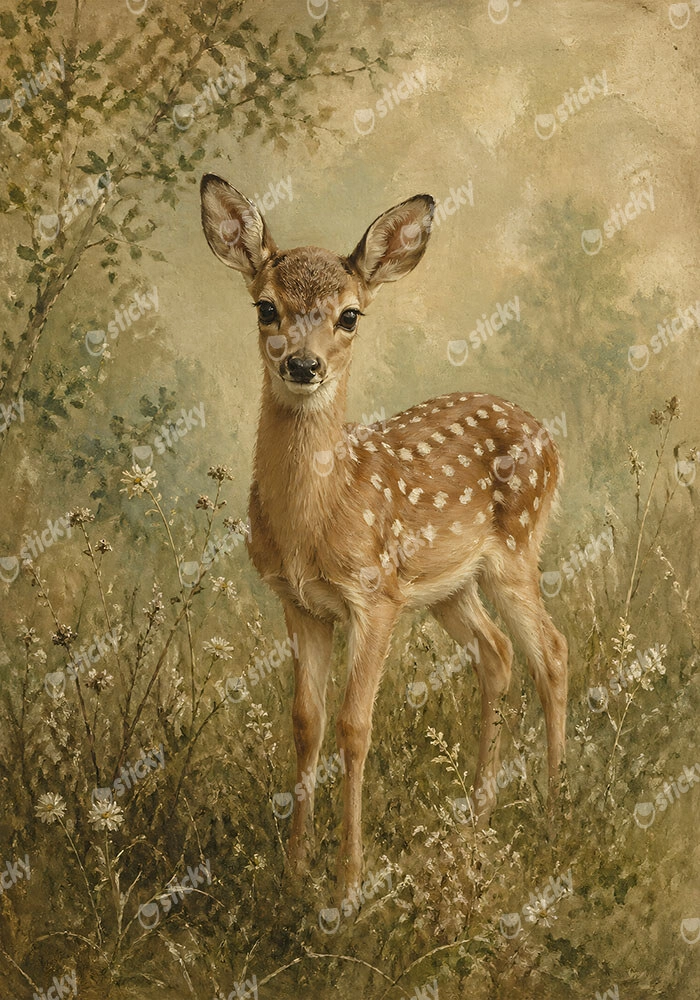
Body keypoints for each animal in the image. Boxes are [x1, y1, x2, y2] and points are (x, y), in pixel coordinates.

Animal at [200, 175, 568, 894]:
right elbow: (307, 722)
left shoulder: (374, 597)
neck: (317, 516)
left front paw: (347, 881)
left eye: (350, 316)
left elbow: (355, 725)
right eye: (265, 307)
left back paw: (556, 814)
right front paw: (293, 871)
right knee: (496, 654)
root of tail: (547, 436)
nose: (303, 366)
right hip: (449, 586)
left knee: (553, 653)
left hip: (513, 554)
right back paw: (476, 819)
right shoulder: (301, 603)